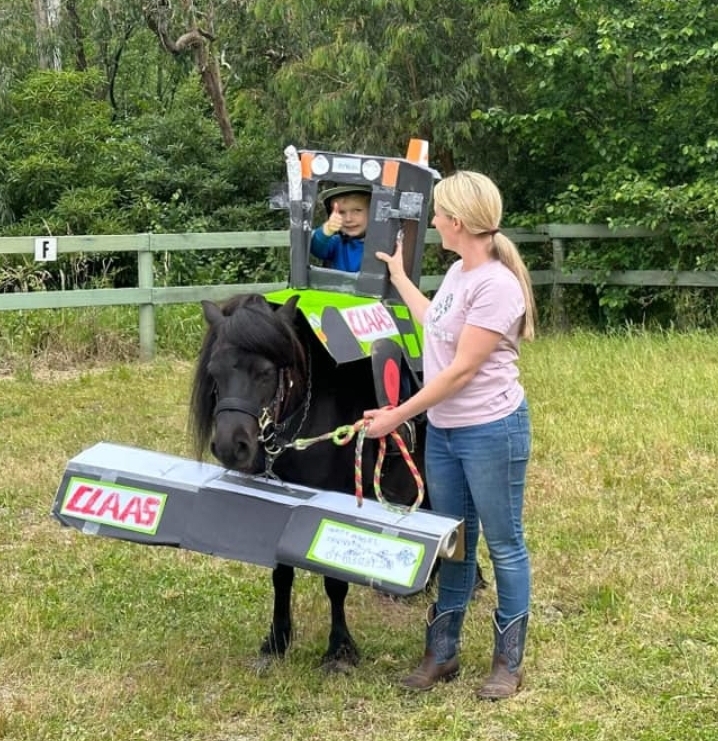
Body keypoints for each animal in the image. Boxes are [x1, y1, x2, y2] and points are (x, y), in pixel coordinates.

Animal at [188, 292, 429, 671]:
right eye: (214, 371)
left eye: (265, 372)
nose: (231, 446)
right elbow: (281, 574)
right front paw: (276, 641)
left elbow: (335, 581)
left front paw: (340, 649)